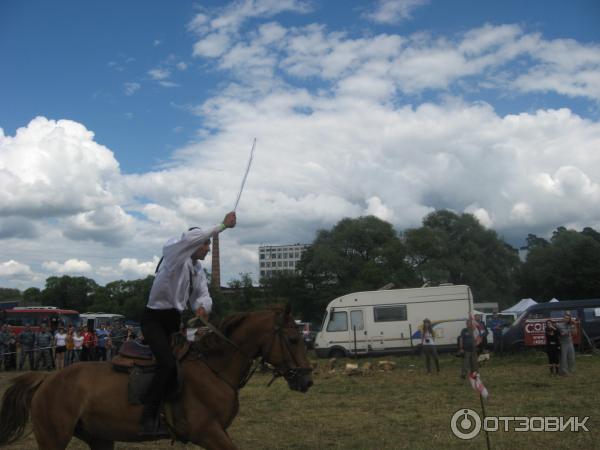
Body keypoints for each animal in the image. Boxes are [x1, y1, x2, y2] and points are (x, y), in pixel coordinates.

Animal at [1, 306, 314, 450]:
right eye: (292, 339)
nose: (307, 381)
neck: (214, 369)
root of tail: (46, 380)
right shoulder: (208, 432)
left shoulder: (216, 433)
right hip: (53, 438)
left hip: (99, 438)